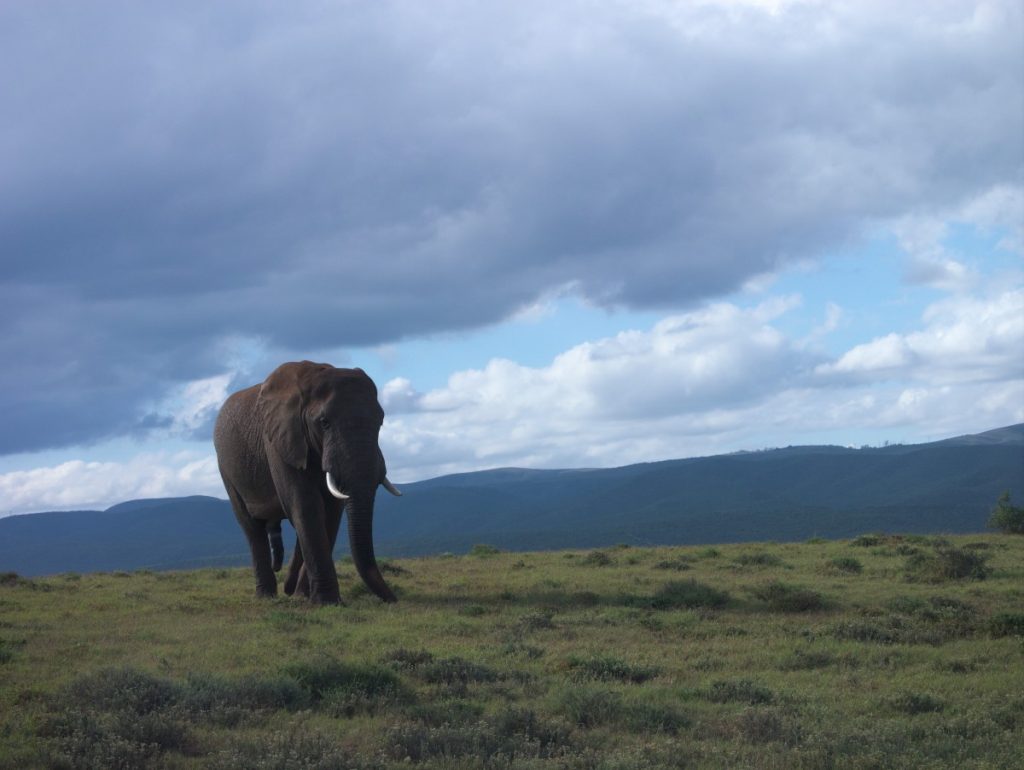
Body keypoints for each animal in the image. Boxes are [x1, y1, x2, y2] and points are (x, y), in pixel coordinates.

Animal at [214, 362, 401, 606]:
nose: (394, 599)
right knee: (251, 527)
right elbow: (306, 506)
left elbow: (329, 512)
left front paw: (304, 596)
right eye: (324, 423)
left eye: (380, 421)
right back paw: (267, 596)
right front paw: (326, 603)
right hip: (227, 469)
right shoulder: (278, 440)